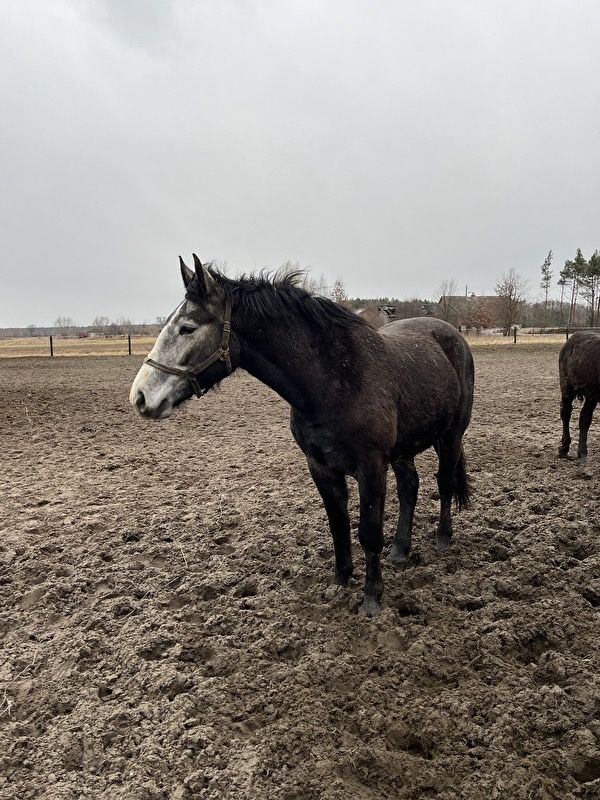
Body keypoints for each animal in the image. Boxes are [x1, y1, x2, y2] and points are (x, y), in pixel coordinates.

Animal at [130, 256, 474, 612]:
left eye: (187, 328)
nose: (140, 397)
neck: (335, 380)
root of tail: (451, 334)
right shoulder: (320, 467)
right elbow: (338, 525)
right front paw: (340, 581)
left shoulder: (371, 468)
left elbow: (368, 532)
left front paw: (371, 596)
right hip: (404, 449)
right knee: (410, 487)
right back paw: (400, 549)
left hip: (450, 437)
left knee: (444, 482)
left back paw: (443, 539)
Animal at [556, 332, 600, 462]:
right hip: (567, 387)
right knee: (565, 412)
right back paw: (564, 448)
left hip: (592, 394)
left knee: (584, 418)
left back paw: (582, 452)